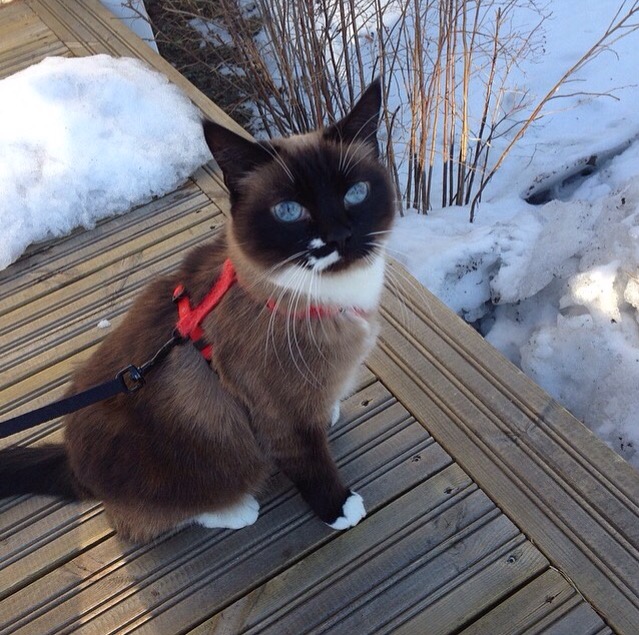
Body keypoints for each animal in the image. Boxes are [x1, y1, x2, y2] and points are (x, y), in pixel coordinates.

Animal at [0, 79, 395, 542]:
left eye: (356, 193)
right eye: (289, 211)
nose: (340, 236)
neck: (328, 297)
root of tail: (72, 462)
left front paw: (330, 412)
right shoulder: (282, 419)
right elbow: (311, 463)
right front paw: (338, 508)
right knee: (148, 517)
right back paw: (237, 509)